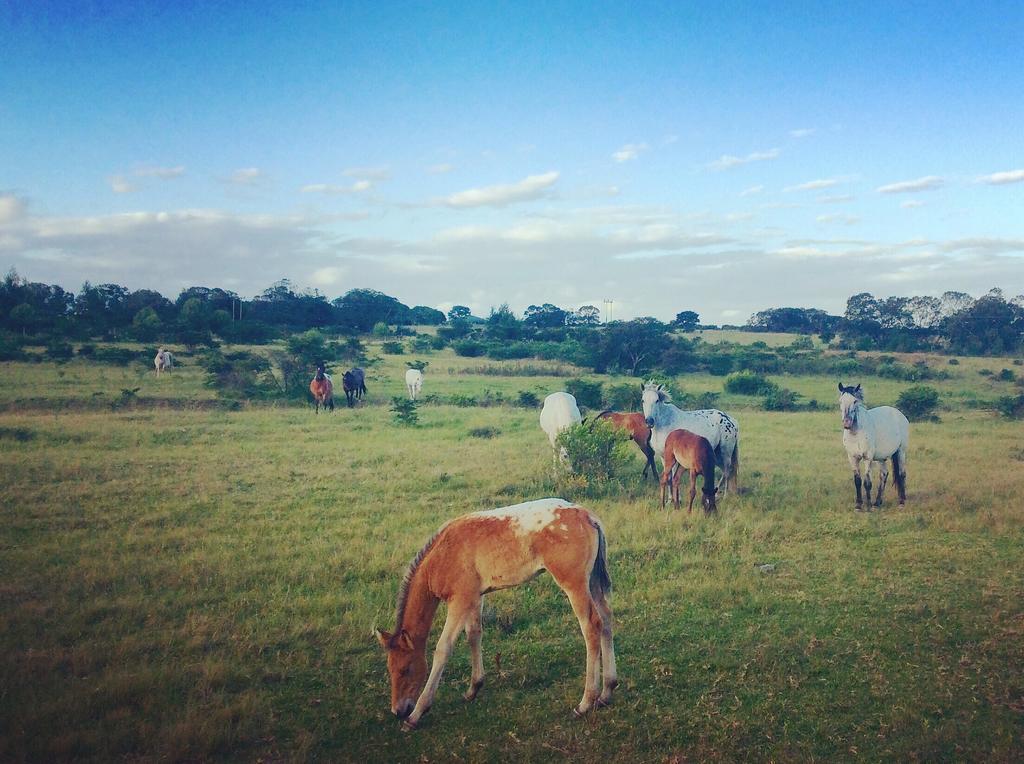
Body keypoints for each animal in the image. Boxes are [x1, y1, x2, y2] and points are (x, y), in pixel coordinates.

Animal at [374, 497, 614, 729]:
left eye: (405, 669)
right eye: (389, 669)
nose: (398, 711)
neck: (443, 555)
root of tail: (588, 516)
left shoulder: (459, 600)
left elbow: (443, 648)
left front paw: (416, 715)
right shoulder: (474, 597)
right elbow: (474, 635)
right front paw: (473, 688)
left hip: (574, 583)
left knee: (591, 626)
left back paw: (585, 703)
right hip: (592, 581)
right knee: (606, 619)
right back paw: (607, 692)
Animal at [839, 380, 913, 512]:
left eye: (855, 401)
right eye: (840, 401)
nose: (847, 423)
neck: (856, 433)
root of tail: (899, 414)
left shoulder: (867, 457)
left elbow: (867, 482)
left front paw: (868, 506)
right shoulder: (852, 458)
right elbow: (857, 481)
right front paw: (858, 505)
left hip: (901, 451)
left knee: (902, 474)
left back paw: (901, 502)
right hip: (881, 457)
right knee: (884, 474)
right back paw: (877, 503)